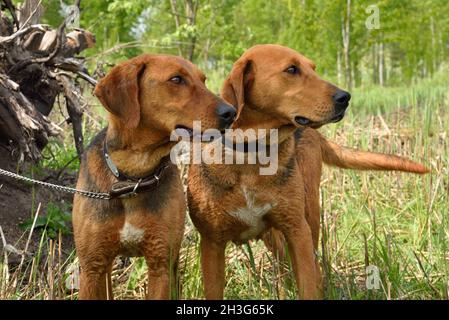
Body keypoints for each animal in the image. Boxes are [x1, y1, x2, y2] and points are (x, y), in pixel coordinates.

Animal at [72, 53, 234, 300]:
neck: (133, 179)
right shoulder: (91, 267)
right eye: (176, 79)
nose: (231, 112)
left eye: (203, 80)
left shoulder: (160, 263)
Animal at [186, 43, 428, 298]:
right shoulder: (212, 244)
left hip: (308, 215)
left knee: (316, 271)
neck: (251, 153)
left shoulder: (297, 231)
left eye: (313, 68)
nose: (345, 97)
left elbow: (309, 285)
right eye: (292, 69)